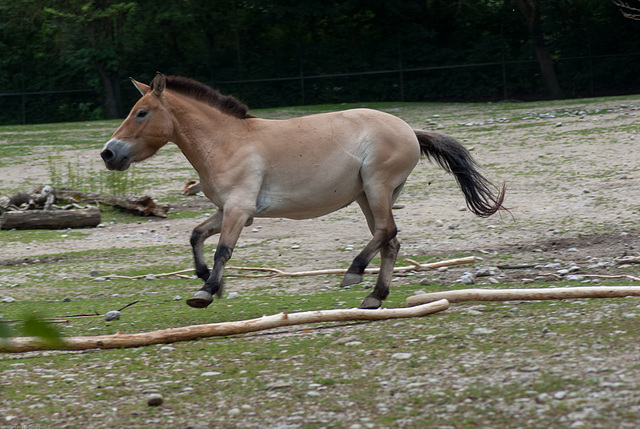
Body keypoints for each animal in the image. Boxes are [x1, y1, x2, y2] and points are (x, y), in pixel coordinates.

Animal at [101, 72, 504, 308]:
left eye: (141, 112)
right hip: (369, 197)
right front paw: (206, 280)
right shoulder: (229, 210)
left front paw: (206, 291)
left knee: (387, 233)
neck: (228, 142)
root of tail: (409, 130)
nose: (108, 153)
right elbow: (196, 235)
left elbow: (222, 250)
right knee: (389, 240)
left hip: (376, 189)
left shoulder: (238, 209)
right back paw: (374, 297)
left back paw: (354, 273)